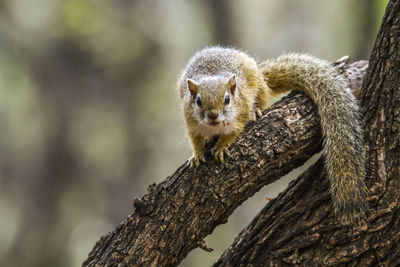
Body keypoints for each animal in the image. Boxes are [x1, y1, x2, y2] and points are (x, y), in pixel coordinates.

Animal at [177, 46, 368, 226]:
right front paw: (197, 154)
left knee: (263, 94)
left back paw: (256, 110)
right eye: (198, 101)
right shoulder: (191, 122)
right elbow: (195, 139)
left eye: (227, 100)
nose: (213, 116)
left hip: (256, 81)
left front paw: (220, 147)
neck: (214, 127)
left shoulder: (240, 114)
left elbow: (233, 133)